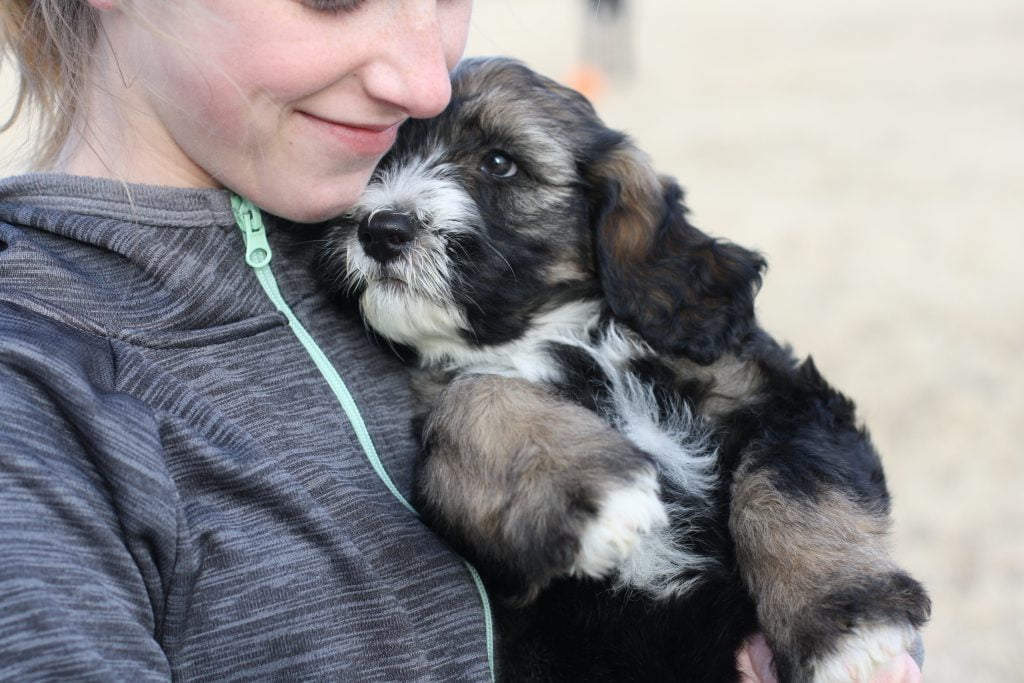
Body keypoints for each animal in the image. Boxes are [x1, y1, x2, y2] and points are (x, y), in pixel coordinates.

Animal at [319, 56, 929, 679]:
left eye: (499, 163)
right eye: (381, 159)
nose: (381, 230)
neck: (554, 332)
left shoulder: (786, 397)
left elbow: (791, 486)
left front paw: (846, 631)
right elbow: (478, 394)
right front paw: (595, 494)